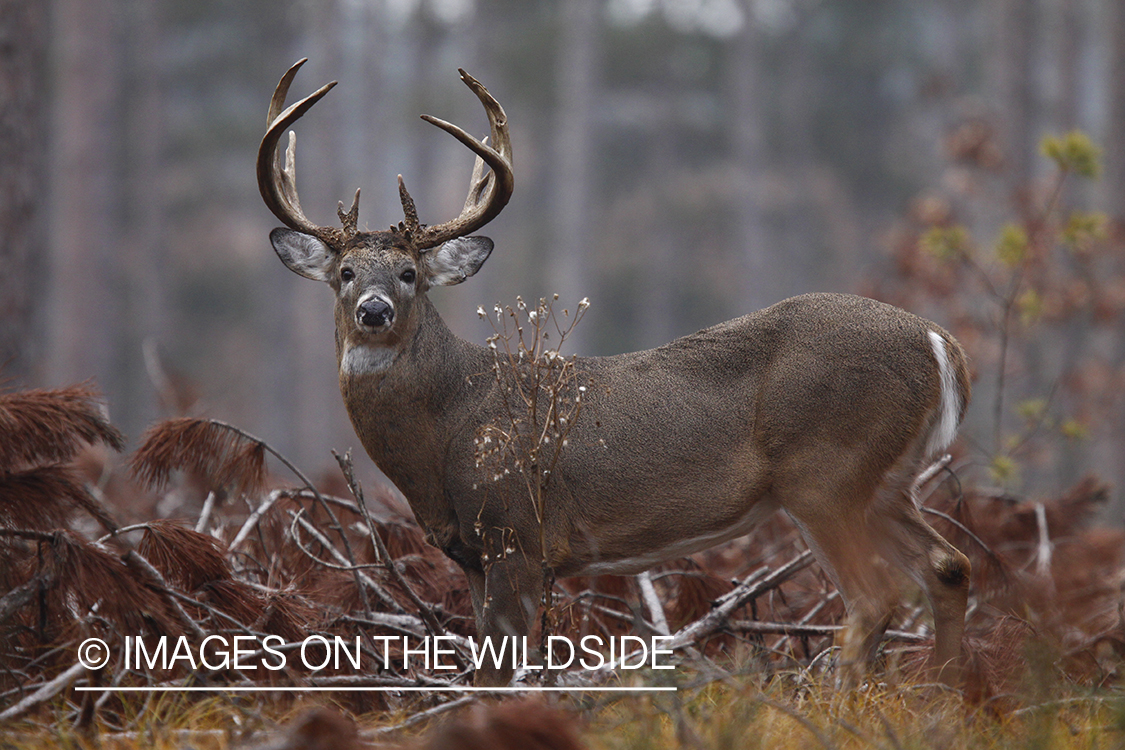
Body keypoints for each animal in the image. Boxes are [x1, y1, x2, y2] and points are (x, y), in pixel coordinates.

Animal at [258, 61, 972, 688]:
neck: (450, 426)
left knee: (878, 597)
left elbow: (501, 667)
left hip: (827, 474)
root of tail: (940, 343)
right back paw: (948, 695)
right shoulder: (472, 551)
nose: (374, 311)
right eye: (346, 273)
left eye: (409, 274)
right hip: (886, 483)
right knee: (950, 565)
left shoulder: (516, 530)